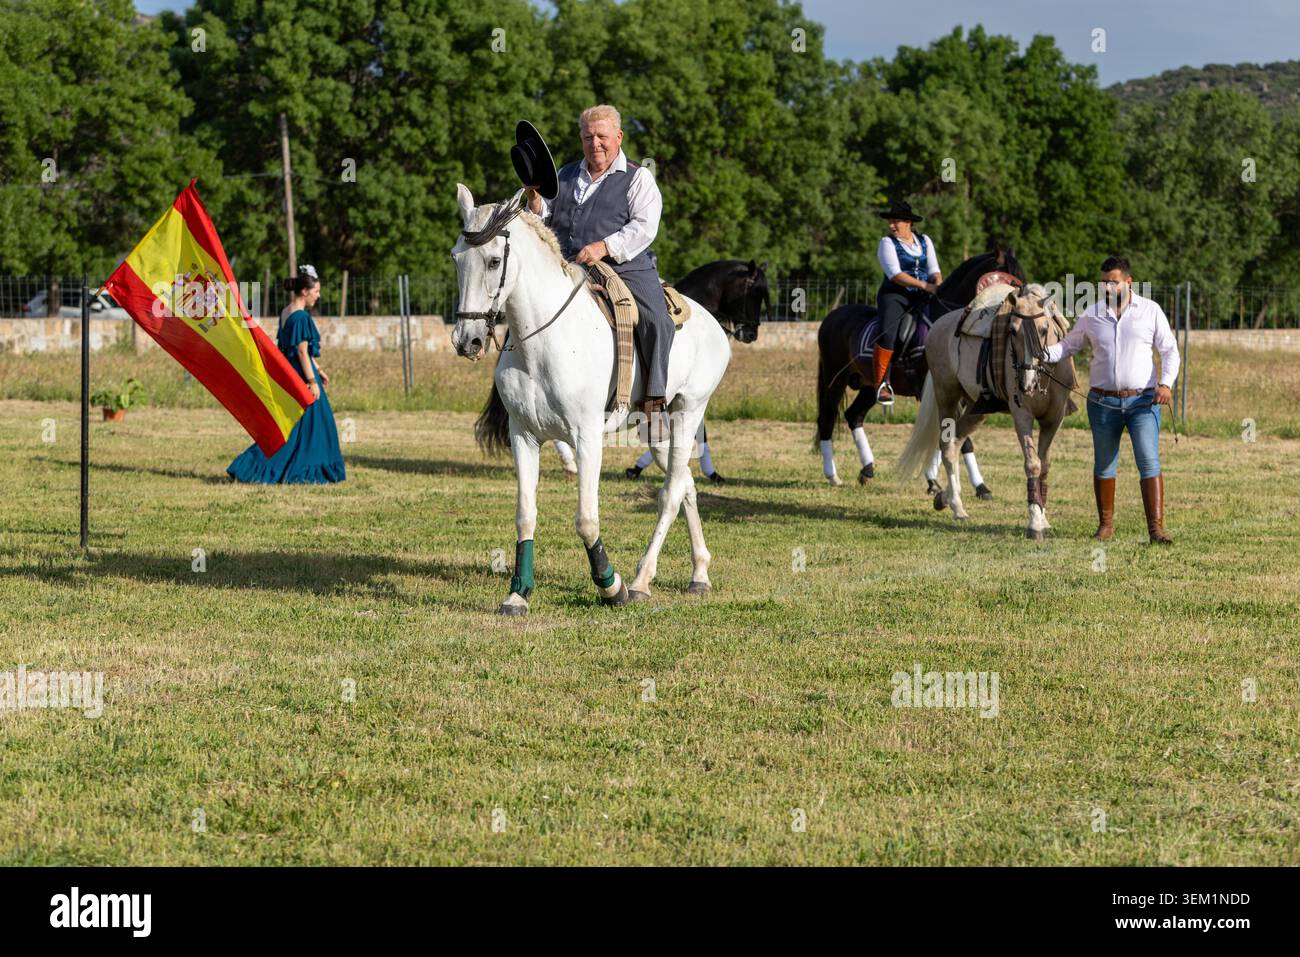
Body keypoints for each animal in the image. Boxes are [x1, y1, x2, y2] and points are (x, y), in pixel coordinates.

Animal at [451, 185, 732, 615]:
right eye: (456, 258)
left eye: (494, 260)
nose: (468, 341)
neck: (543, 342)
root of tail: (713, 325)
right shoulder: (523, 436)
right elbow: (525, 515)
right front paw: (518, 593)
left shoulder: (587, 439)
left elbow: (585, 519)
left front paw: (610, 586)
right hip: (658, 429)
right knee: (685, 485)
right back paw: (698, 573)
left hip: (689, 412)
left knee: (670, 494)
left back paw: (641, 580)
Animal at [814, 249, 1026, 502]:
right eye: (1012, 283)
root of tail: (832, 316)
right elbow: (957, 438)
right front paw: (978, 487)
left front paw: (936, 482)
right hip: (834, 380)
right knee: (826, 419)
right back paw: (832, 475)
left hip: (869, 387)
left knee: (854, 416)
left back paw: (867, 470)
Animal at [896, 283, 1078, 540]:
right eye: (1012, 331)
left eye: (1044, 329)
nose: (1027, 383)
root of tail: (938, 326)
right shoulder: (1023, 416)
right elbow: (1032, 464)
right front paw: (1035, 523)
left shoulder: (1054, 420)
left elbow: (1044, 466)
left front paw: (1043, 518)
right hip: (947, 397)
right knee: (947, 445)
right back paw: (957, 507)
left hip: (976, 409)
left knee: (957, 442)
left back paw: (947, 497)